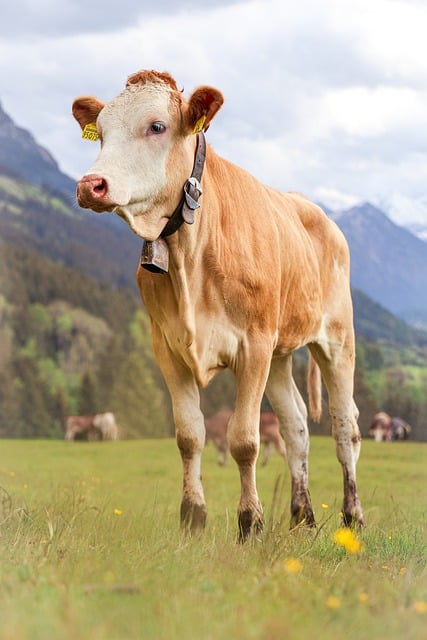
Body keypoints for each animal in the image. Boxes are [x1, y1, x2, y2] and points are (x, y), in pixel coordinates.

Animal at [72, 69, 364, 541]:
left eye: (157, 126)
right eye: (101, 133)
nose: (89, 185)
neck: (191, 254)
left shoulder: (254, 345)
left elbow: (244, 439)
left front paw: (250, 524)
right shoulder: (167, 347)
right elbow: (190, 436)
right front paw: (193, 517)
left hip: (336, 338)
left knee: (345, 428)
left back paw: (352, 516)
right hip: (280, 354)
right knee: (296, 427)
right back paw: (302, 516)